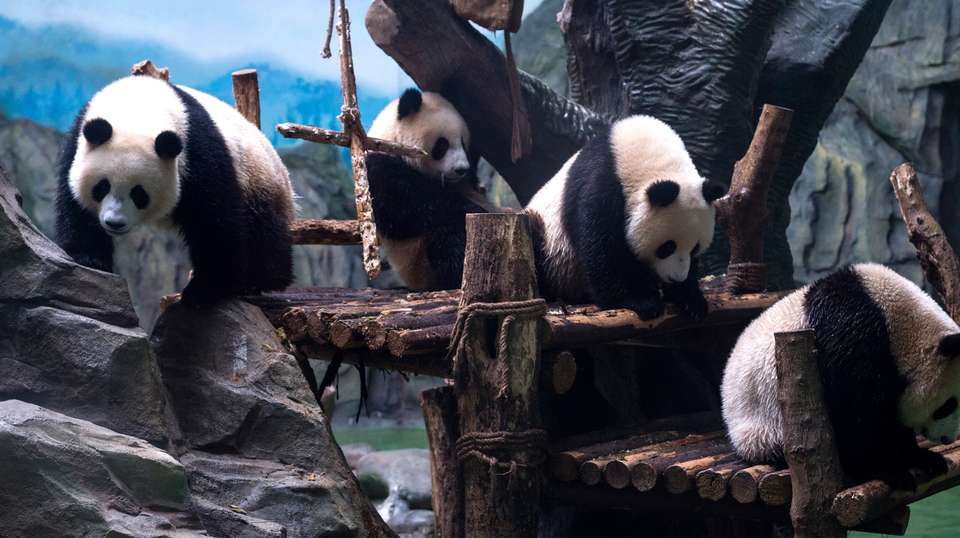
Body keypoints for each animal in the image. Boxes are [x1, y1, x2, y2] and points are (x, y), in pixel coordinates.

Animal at [55, 75, 296, 308]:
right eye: (102, 186)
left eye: (139, 194)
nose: (114, 223)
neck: (136, 110)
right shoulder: (77, 142)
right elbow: (74, 203)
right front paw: (89, 257)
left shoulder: (198, 151)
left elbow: (214, 219)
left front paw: (204, 290)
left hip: (259, 182)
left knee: (265, 236)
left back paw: (260, 281)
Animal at [365, 88, 490, 291]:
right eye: (442, 144)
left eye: (463, 143)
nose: (462, 169)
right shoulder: (380, 172)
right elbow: (407, 212)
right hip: (421, 264)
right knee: (449, 238)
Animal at [524, 115, 726, 320]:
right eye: (667, 247)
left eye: (695, 249)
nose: (676, 279)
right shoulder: (602, 186)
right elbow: (601, 246)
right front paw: (638, 300)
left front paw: (690, 299)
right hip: (551, 246)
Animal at [722, 263, 960, 485]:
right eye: (948, 406)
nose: (947, 438)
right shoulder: (853, 334)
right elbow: (854, 410)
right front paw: (885, 469)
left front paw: (922, 458)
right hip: (763, 428)